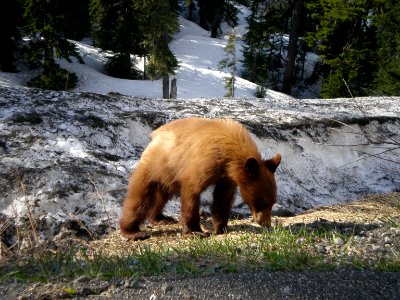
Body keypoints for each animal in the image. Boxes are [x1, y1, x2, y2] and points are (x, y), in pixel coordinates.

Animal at [119, 116, 282, 239]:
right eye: (261, 202)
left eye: (273, 202)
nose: (266, 223)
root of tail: (154, 136)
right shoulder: (206, 160)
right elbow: (192, 189)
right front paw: (195, 231)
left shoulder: (227, 176)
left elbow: (223, 198)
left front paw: (221, 227)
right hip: (157, 165)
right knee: (139, 197)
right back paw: (133, 231)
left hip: (168, 175)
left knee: (162, 194)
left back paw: (160, 218)